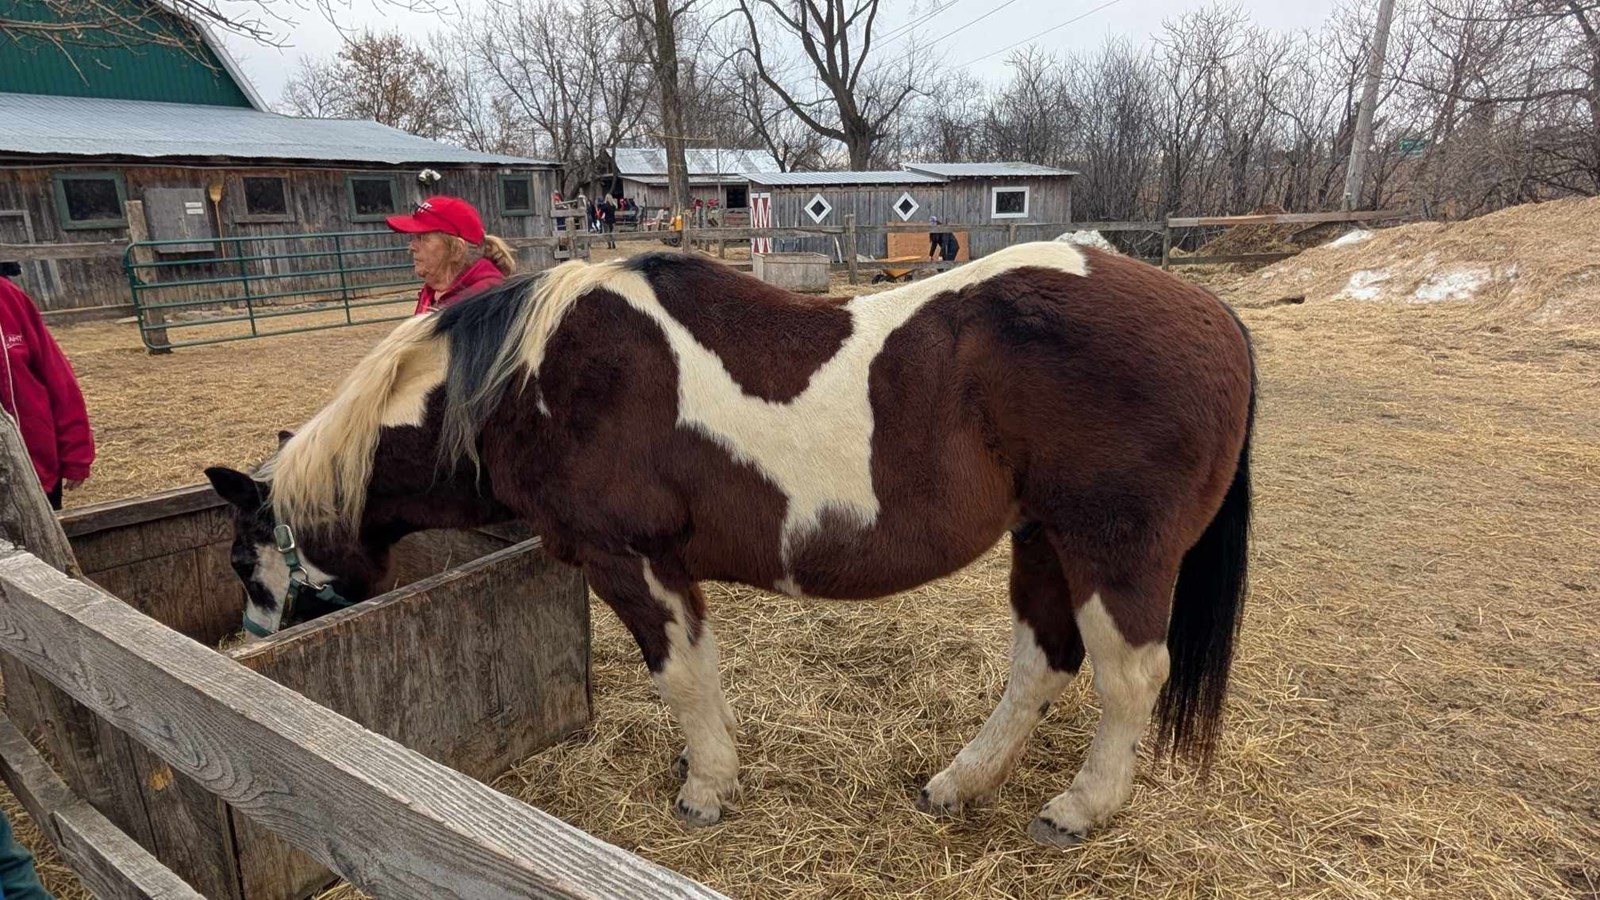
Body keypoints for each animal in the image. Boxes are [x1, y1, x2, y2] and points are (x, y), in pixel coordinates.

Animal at [204, 240, 1256, 846]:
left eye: (242, 563)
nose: (251, 648)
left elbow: (682, 676)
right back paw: (959, 783)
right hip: (1043, 541)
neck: (525, 384)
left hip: (1113, 551)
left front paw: (707, 789)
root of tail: (1211, 312)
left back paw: (1082, 808)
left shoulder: (634, 561)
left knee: (1129, 677)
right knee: (1042, 664)